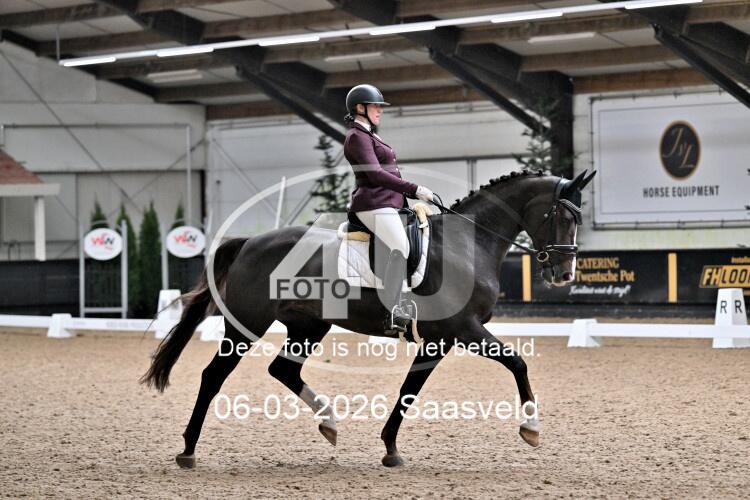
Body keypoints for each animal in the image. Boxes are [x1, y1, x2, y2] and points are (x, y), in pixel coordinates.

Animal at [141, 169, 596, 469]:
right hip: (246, 325)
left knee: (283, 370)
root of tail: (250, 242)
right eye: (563, 216)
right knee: (213, 376)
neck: (467, 244)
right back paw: (188, 450)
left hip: (309, 325)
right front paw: (531, 429)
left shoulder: (441, 338)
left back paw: (329, 423)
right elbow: (517, 361)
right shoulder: (463, 329)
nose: (564, 274)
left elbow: (410, 390)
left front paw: (391, 449)